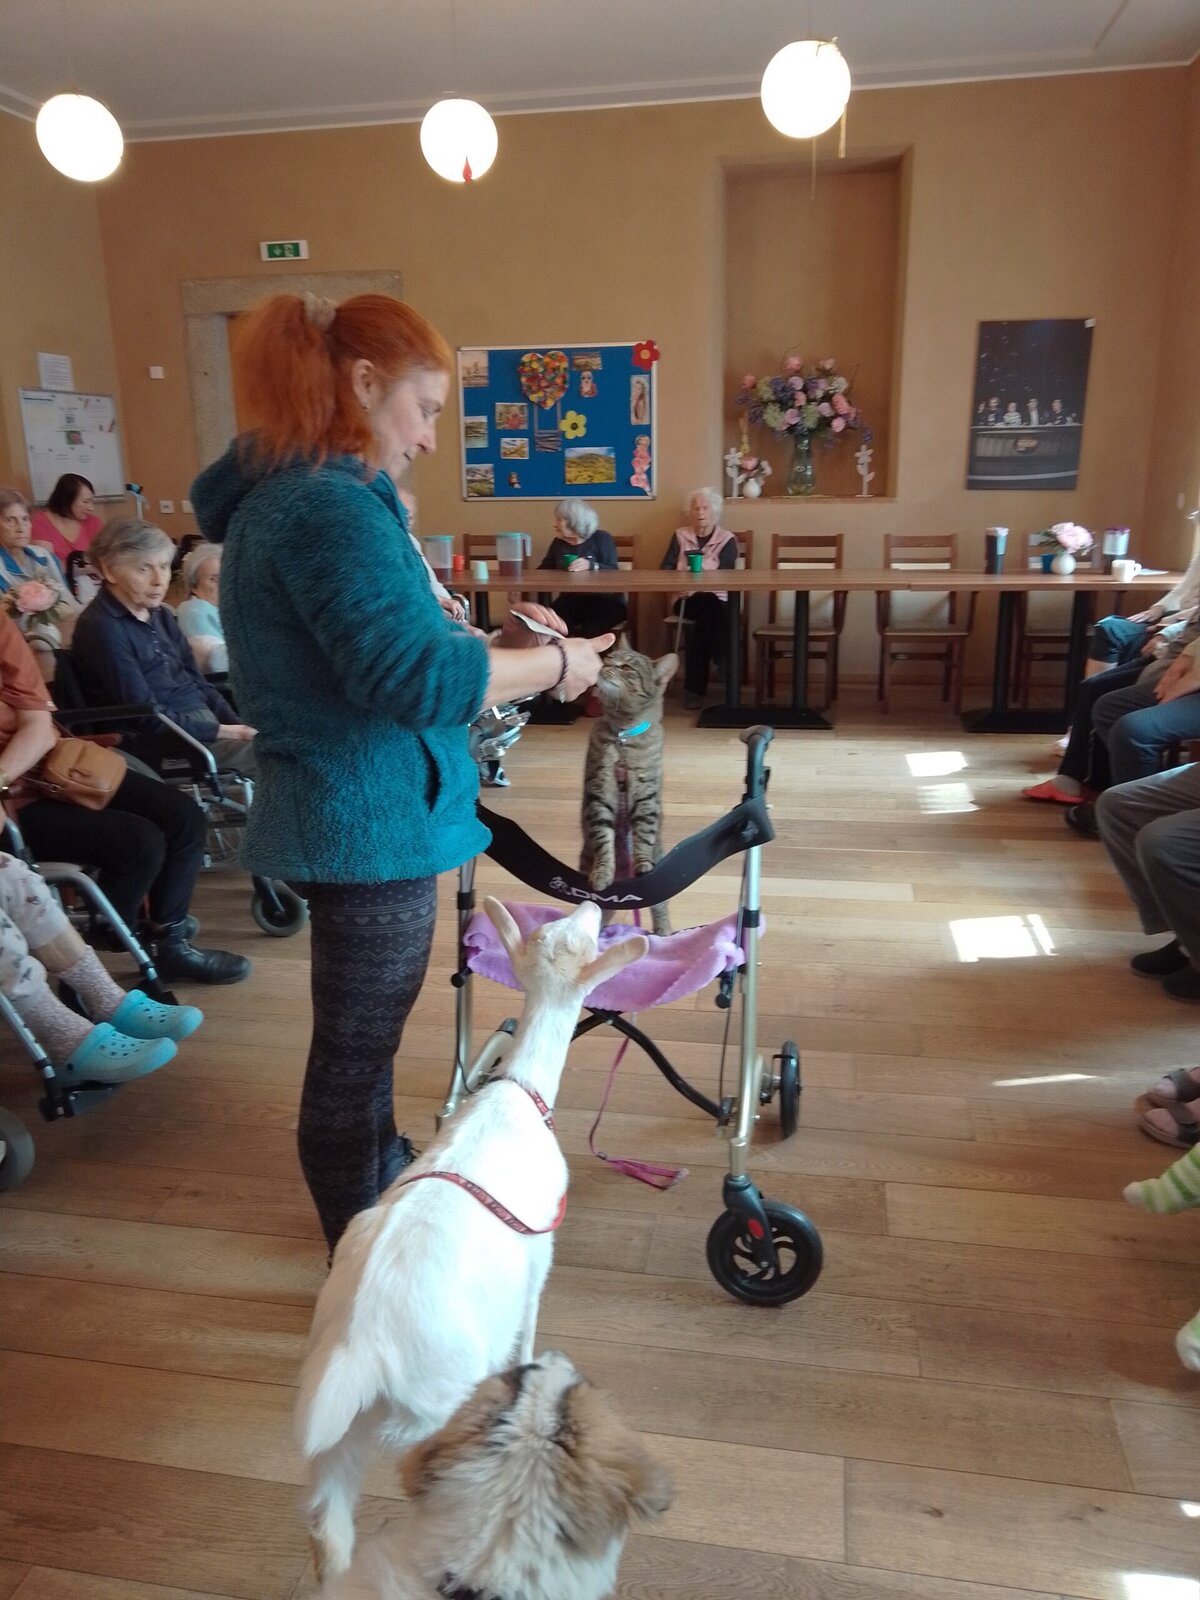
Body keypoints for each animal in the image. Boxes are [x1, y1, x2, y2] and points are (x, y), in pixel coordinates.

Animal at [296, 898, 649, 1577]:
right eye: (582, 936)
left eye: (555, 930)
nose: (595, 903)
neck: (520, 1089)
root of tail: (360, 1351)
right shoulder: (540, 1248)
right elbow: (531, 1318)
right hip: (436, 1405)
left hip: (336, 1433)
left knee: (329, 1530)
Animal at [581, 643, 678, 936]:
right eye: (609, 658)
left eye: (627, 667)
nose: (603, 665)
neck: (623, 736)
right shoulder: (599, 791)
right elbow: (603, 840)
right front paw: (602, 873)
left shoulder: (646, 794)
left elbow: (643, 835)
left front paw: (643, 861)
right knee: (598, 912)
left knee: (660, 907)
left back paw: (663, 932)